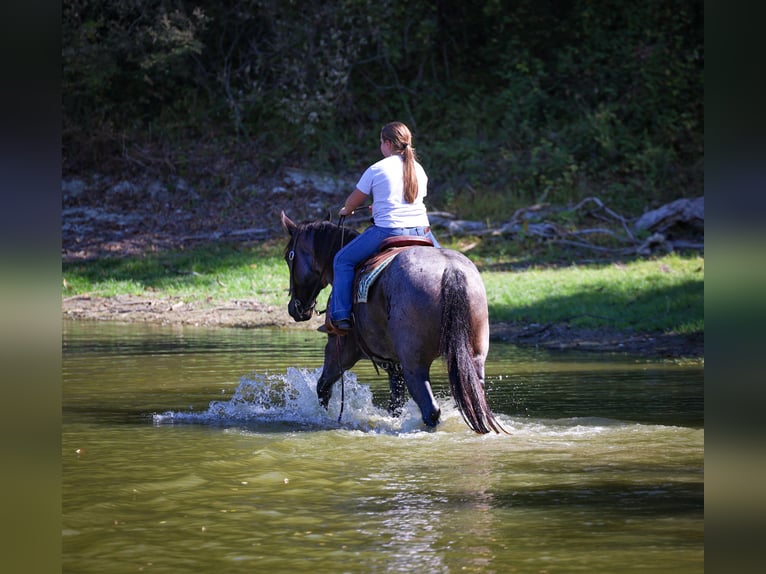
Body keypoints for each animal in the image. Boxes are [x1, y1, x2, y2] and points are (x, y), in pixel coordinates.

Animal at [280, 211, 506, 434]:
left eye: (288, 257)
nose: (295, 308)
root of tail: (450, 270)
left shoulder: (341, 349)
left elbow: (323, 387)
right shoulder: (393, 364)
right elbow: (395, 404)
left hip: (414, 365)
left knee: (430, 409)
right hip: (473, 358)